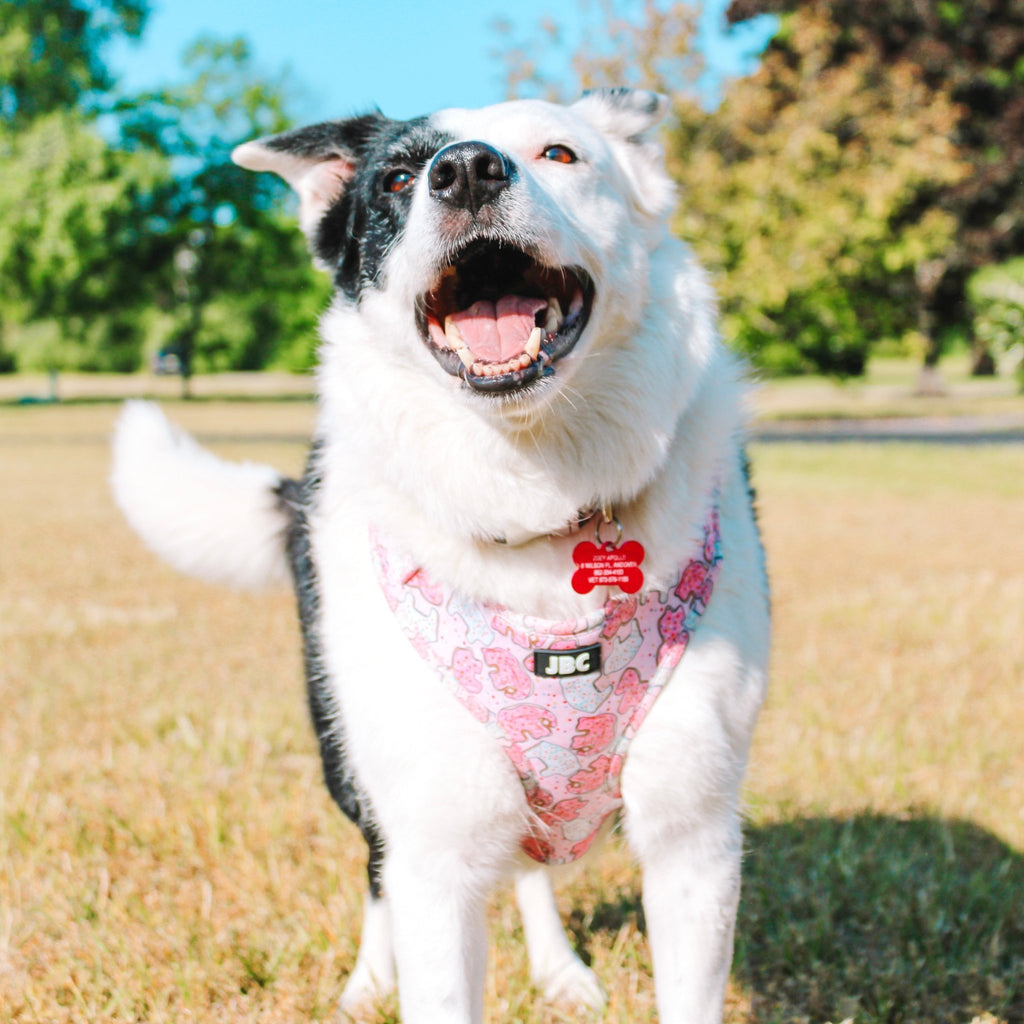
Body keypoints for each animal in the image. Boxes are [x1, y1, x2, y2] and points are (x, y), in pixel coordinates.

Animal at [112, 90, 770, 1024]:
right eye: (396, 177)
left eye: (560, 153)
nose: (464, 170)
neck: (531, 502)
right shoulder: (434, 848)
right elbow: (418, 913)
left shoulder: (696, 838)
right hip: (349, 761)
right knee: (378, 868)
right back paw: (367, 983)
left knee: (529, 865)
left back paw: (559, 970)